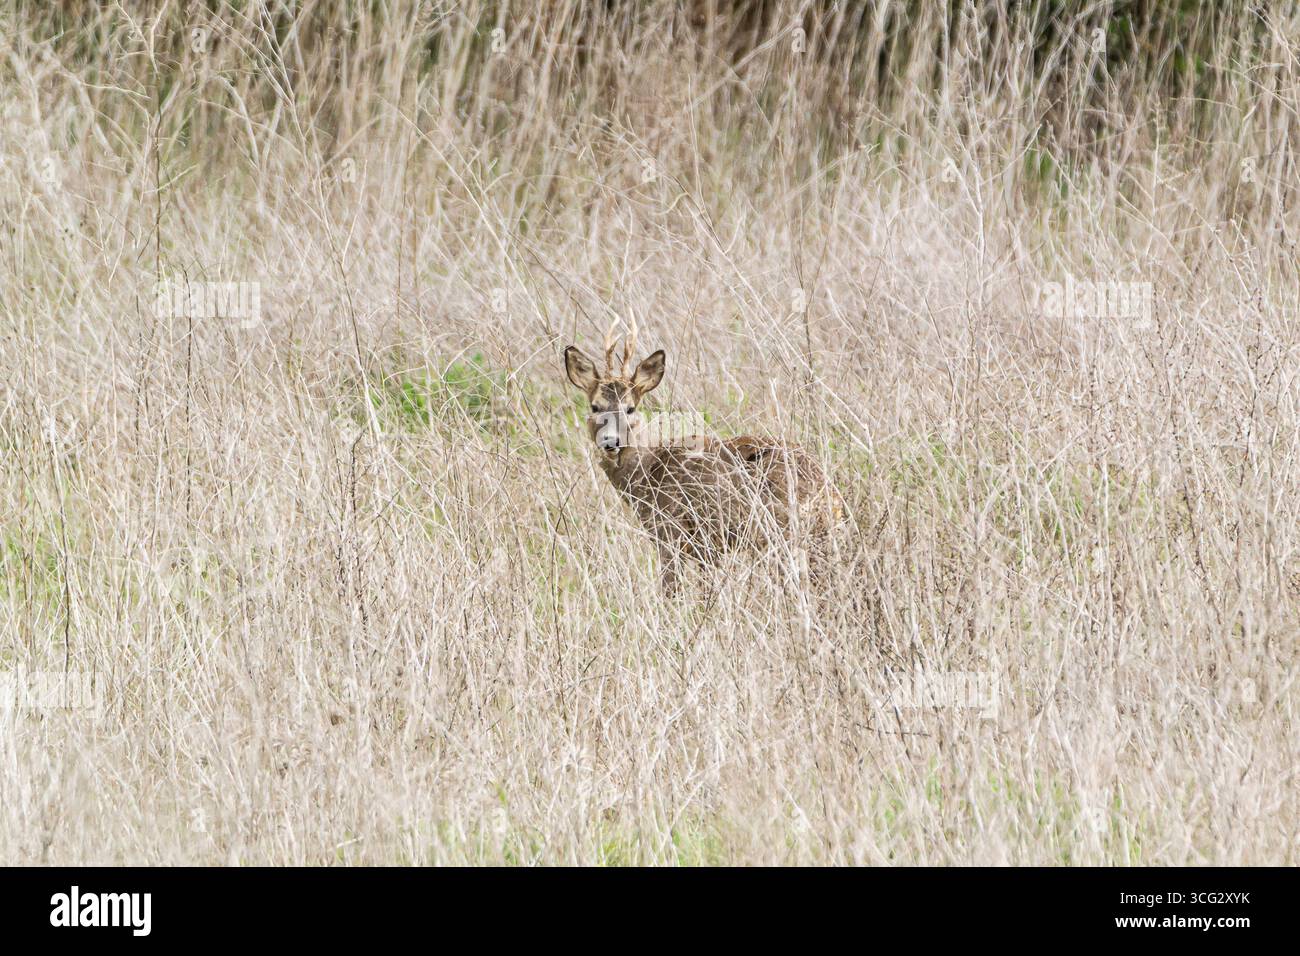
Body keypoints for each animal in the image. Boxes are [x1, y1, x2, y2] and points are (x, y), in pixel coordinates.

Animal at [562, 319, 845, 595]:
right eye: (595, 406)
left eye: (630, 408)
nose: (611, 441)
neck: (648, 475)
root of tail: (829, 492)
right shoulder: (707, 547)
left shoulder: (671, 530)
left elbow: (672, 591)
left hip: (780, 530)